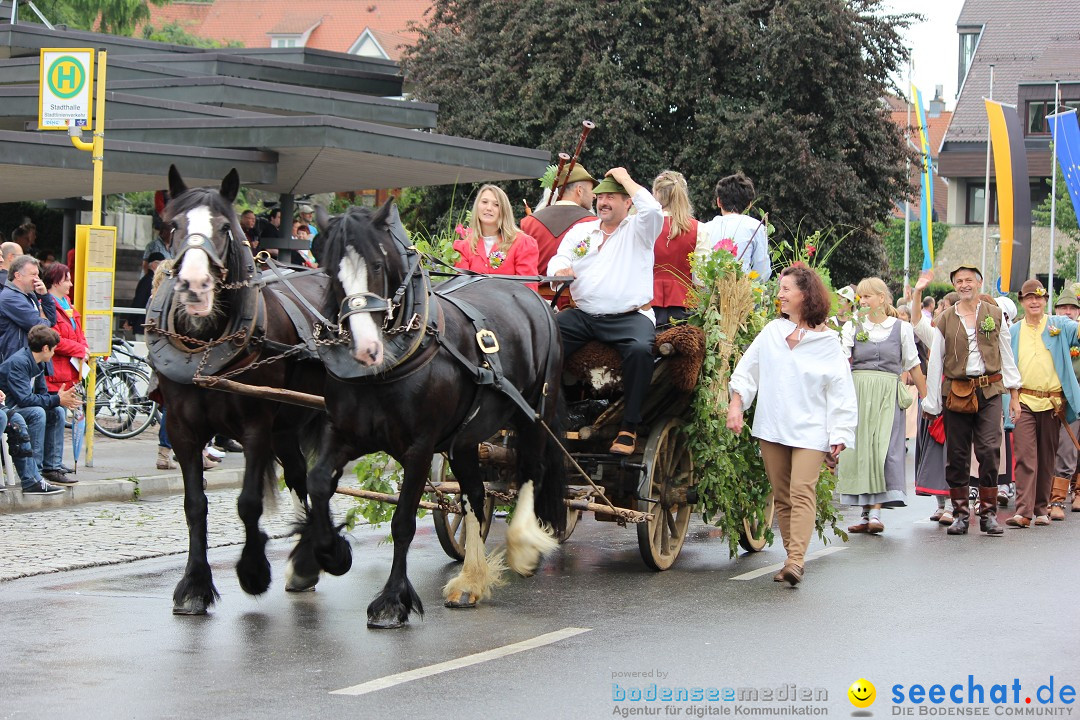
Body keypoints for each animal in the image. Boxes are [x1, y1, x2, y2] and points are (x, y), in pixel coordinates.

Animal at [150, 167, 330, 613]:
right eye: (173, 226)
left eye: (223, 228)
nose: (194, 285)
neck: (205, 347)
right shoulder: (182, 430)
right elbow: (194, 505)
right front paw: (194, 585)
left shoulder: (255, 426)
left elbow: (248, 503)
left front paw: (253, 571)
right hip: (287, 423)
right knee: (301, 476)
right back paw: (306, 561)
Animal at [295, 199, 565, 626]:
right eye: (328, 270)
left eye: (377, 264)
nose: (366, 349)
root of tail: (530, 295)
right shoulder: (343, 434)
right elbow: (318, 482)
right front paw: (328, 554)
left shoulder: (419, 448)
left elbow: (403, 521)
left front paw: (391, 600)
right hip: (466, 441)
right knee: (474, 494)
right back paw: (471, 580)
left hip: (535, 413)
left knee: (531, 472)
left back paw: (524, 547)